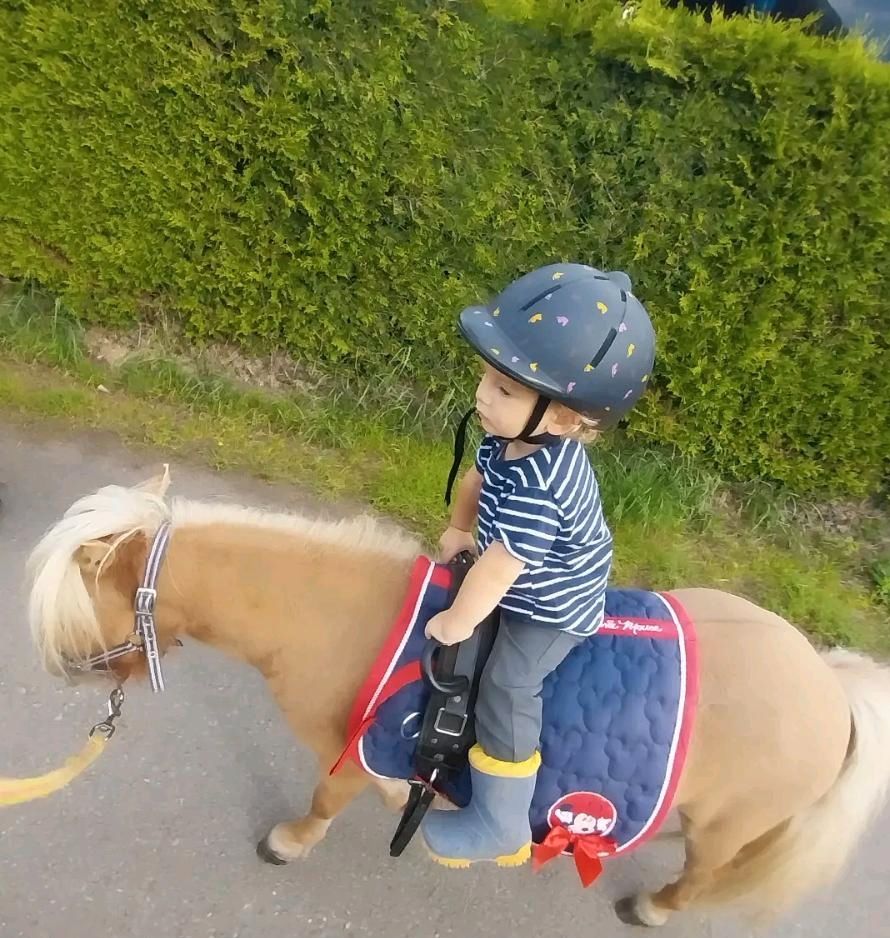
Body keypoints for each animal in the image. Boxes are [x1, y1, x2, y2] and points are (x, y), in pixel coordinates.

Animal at [24, 472, 888, 924]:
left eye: (78, 604)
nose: (65, 670)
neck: (351, 623)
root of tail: (830, 687)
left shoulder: (360, 744)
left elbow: (325, 798)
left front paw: (289, 842)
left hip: (729, 825)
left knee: (707, 873)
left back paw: (654, 906)